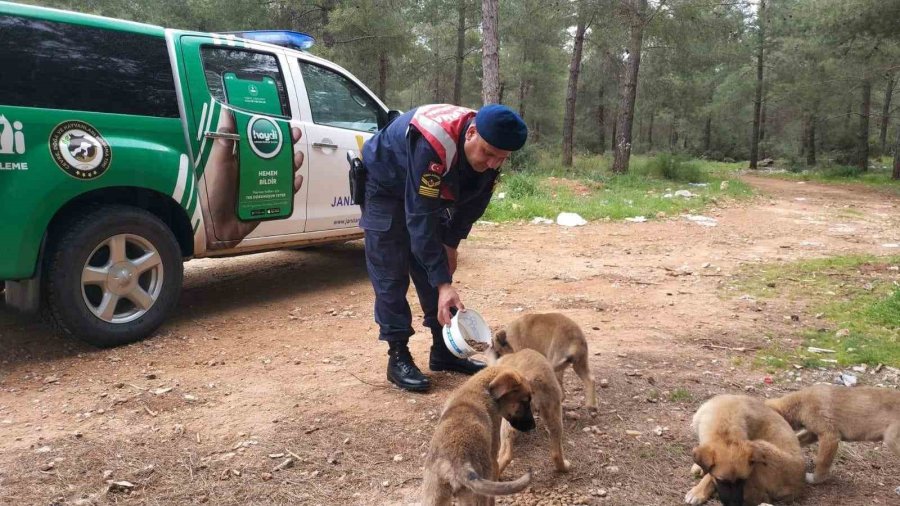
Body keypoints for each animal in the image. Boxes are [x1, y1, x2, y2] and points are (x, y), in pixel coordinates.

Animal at [422, 366, 536, 504]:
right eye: (524, 402)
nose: (533, 426)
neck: (479, 388)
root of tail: (458, 463)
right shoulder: (493, 462)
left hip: (434, 496)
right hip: (477, 495)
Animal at [768, 386, 900, 484]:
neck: (800, 405)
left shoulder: (829, 437)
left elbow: (822, 461)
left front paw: (816, 479)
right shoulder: (813, 433)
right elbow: (798, 439)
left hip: (892, 439)